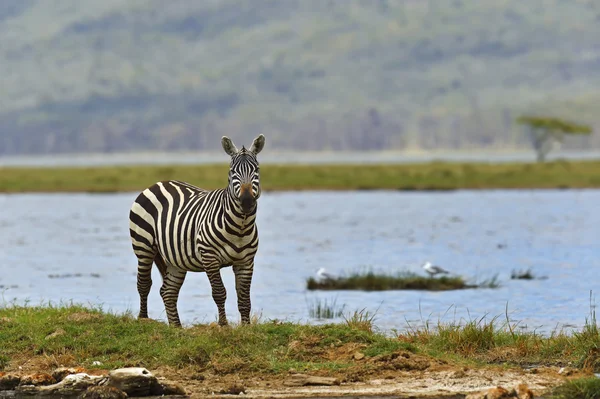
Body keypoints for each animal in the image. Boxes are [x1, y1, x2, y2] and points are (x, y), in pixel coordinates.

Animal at [129, 135, 264, 328]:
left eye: (257, 170)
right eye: (232, 172)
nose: (246, 201)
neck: (240, 226)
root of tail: (158, 183)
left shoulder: (246, 261)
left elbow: (244, 297)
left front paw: (246, 327)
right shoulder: (210, 257)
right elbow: (219, 293)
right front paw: (224, 325)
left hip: (175, 258)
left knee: (168, 291)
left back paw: (176, 327)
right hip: (143, 246)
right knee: (144, 284)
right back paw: (144, 319)